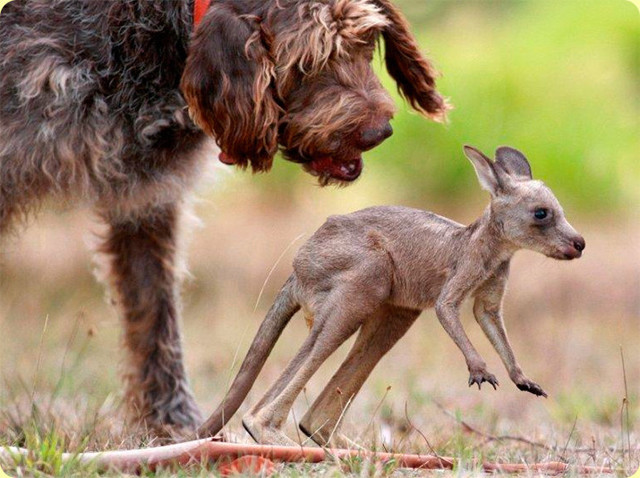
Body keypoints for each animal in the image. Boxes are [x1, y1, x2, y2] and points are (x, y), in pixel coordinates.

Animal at [0, 0, 448, 434]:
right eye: (305, 64)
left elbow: (154, 317)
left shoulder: (145, 203)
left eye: (365, 42)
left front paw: (172, 426)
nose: (379, 132)